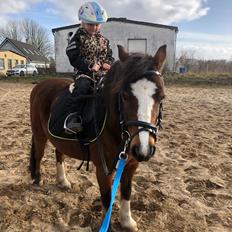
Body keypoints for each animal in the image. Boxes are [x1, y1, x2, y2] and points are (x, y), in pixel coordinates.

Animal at [29, 44, 167, 231]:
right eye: (124, 95)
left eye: (161, 96)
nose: (143, 149)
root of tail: (40, 86)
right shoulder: (103, 168)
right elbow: (107, 198)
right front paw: (107, 225)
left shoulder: (131, 164)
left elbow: (127, 191)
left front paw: (127, 221)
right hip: (39, 134)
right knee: (39, 154)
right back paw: (37, 180)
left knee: (59, 153)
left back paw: (63, 181)